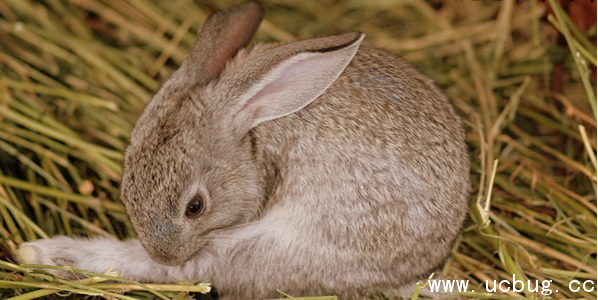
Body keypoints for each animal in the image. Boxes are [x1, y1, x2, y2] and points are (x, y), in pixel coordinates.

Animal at [16, 2, 472, 300]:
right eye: (126, 185)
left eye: (195, 207)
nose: (164, 252)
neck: (254, 135)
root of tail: (418, 267)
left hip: (274, 248)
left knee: (199, 270)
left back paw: (45, 252)